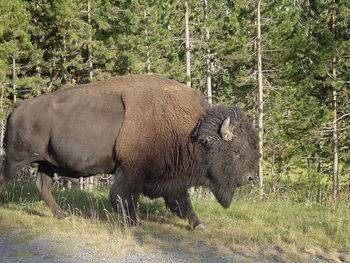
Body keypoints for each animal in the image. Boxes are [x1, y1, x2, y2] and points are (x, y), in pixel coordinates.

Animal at [0, 74, 260, 229]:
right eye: (236, 151)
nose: (250, 178)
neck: (192, 130)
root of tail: (18, 106)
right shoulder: (131, 170)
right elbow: (124, 197)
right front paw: (134, 224)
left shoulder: (170, 176)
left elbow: (181, 201)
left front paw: (198, 224)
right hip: (15, 160)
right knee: (6, 179)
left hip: (46, 163)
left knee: (42, 186)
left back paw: (63, 215)